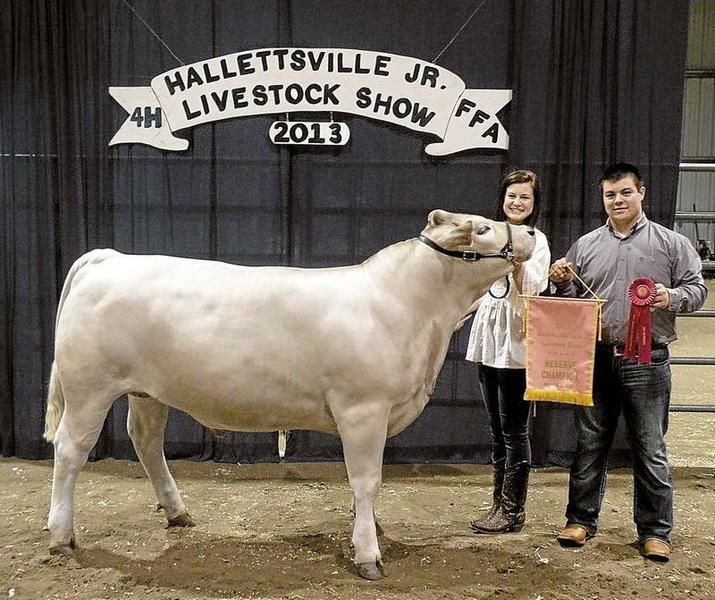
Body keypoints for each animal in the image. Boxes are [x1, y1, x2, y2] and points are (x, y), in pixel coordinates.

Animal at [42, 209, 536, 580]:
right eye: (484, 228)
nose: (532, 230)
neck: (413, 310)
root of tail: (109, 257)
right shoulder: (363, 408)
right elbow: (367, 480)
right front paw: (367, 553)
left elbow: (364, 486)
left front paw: (369, 527)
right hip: (89, 388)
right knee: (71, 451)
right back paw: (61, 536)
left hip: (147, 392)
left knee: (145, 441)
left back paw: (177, 511)